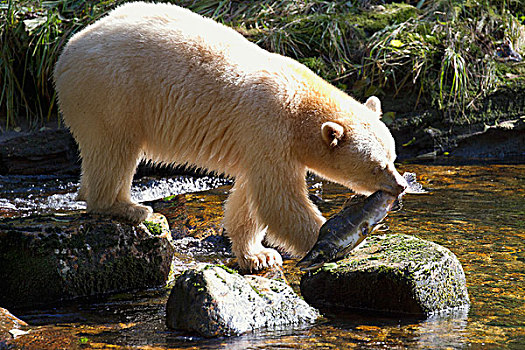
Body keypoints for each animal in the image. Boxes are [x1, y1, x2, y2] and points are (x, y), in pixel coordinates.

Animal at [53, 2, 406, 270]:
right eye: (377, 166)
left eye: (393, 157)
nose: (400, 185)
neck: (299, 102)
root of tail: (65, 54)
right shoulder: (267, 125)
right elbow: (278, 200)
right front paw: (333, 240)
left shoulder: (259, 143)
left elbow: (249, 198)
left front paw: (259, 256)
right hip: (112, 92)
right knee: (115, 149)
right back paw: (127, 207)